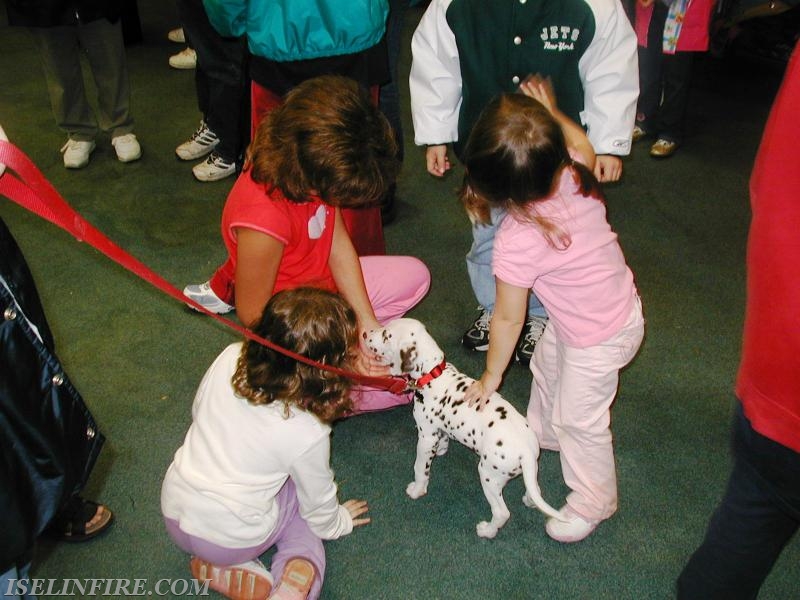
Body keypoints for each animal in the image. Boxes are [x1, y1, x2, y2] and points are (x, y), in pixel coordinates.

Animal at [364, 318, 564, 540]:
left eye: (386, 335)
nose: (365, 334)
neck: (433, 374)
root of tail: (526, 452)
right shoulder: (438, 431)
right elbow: (443, 440)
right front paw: (440, 451)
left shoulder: (425, 437)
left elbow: (420, 468)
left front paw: (417, 489)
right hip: (529, 471)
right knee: (535, 489)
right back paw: (530, 501)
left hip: (489, 476)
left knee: (501, 512)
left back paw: (487, 530)